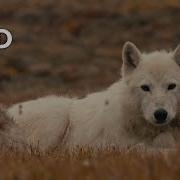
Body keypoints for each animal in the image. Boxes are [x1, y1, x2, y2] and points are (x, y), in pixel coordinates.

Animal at [5, 42, 180, 152]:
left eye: (172, 86)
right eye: (145, 88)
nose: (160, 114)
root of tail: (7, 111)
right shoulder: (117, 145)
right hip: (57, 118)